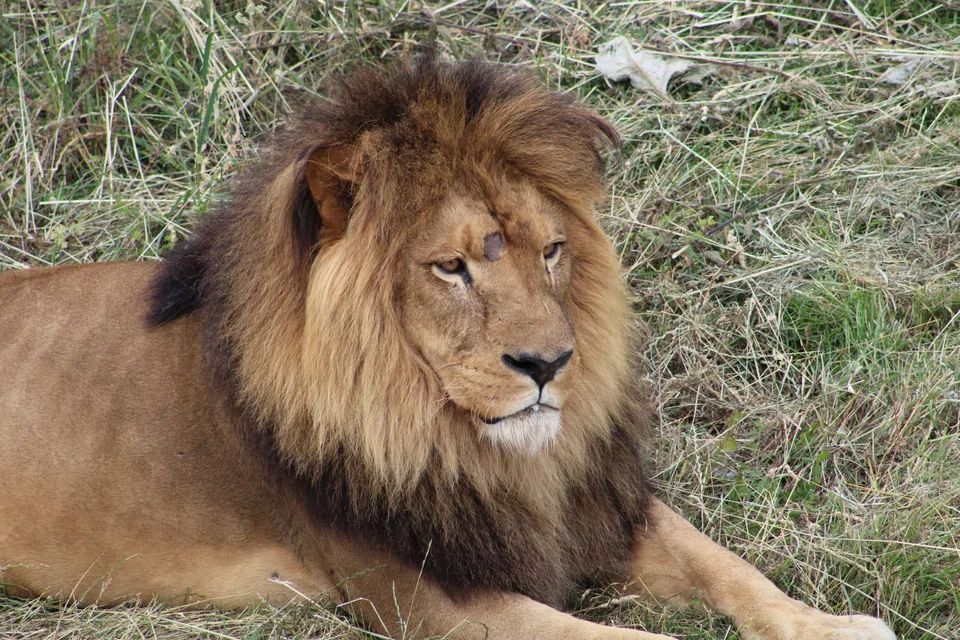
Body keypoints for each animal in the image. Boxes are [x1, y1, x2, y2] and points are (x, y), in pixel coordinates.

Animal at [0, 57, 896, 640]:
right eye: (452, 268)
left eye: (552, 251)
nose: (548, 366)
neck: (462, 442)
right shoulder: (433, 597)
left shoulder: (591, 506)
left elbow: (727, 566)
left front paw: (834, 626)